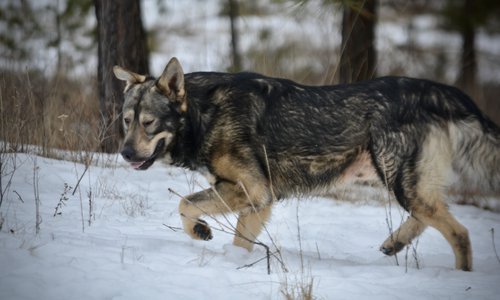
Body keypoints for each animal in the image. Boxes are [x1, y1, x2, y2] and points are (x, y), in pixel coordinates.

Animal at [113, 57, 500, 270]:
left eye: (148, 123)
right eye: (126, 121)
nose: (125, 154)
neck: (204, 113)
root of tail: (437, 90)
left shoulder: (255, 191)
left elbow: (184, 204)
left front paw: (200, 232)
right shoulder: (256, 201)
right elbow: (233, 236)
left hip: (402, 181)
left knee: (459, 233)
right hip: (402, 182)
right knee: (430, 216)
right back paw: (395, 243)